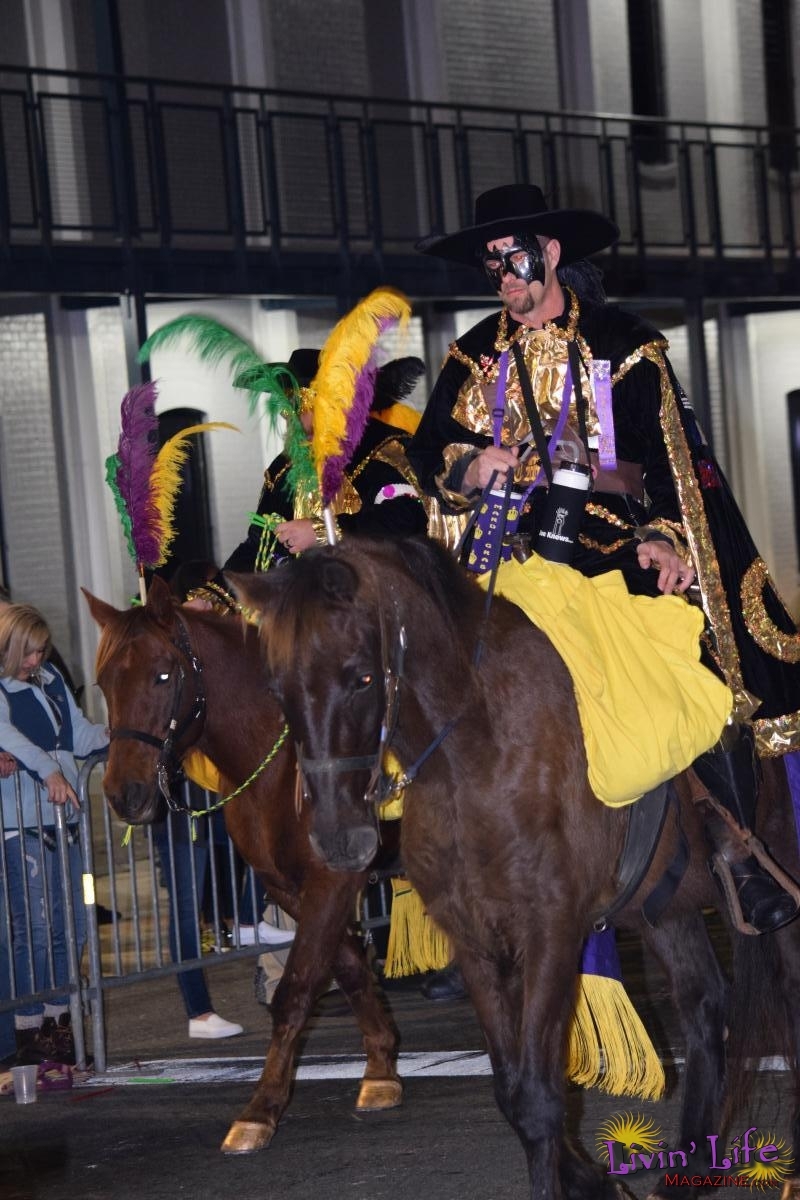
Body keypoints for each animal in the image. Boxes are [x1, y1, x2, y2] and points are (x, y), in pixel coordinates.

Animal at [84, 578, 402, 1152]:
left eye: (164, 674)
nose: (125, 795)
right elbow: (344, 965)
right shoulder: (290, 886)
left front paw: (260, 1110)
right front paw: (382, 1067)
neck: (283, 760)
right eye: (103, 681)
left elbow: (297, 988)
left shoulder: (333, 878)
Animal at [232, 540, 800, 1200]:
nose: (339, 839)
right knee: (706, 1008)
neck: (473, 757)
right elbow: (512, 1092)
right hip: (667, 906)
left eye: (362, 677)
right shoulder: (477, 941)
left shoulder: (550, 931)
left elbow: (536, 1096)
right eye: (277, 690)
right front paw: (598, 1181)